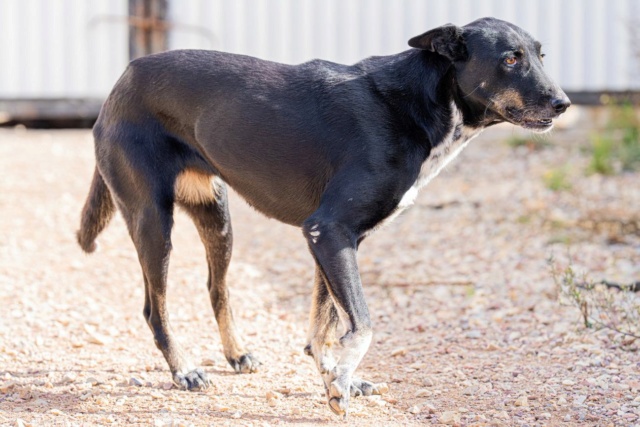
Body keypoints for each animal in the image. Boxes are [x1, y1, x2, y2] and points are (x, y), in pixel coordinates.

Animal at [77, 18, 572, 416]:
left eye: (542, 56)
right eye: (510, 58)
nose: (564, 103)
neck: (422, 100)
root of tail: (123, 79)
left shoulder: (331, 239)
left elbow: (325, 325)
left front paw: (338, 377)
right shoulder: (329, 230)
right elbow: (362, 323)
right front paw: (339, 383)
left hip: (217, 218)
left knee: (217, 288)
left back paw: (236, 354)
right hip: (152, 220)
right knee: (154, 307)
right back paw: (184, 370)